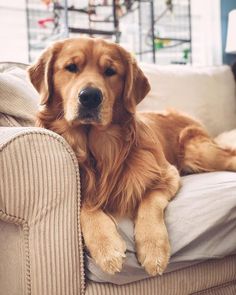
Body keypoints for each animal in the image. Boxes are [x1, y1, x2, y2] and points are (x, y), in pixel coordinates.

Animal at [28, 37, 236, 278]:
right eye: (71, 67)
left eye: (110, 71)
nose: (90, 97)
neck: (99, 150)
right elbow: (84, 205)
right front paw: (105, 245)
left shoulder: (168, 174)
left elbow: (149, 200)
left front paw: (153, 249)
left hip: (197, 151)